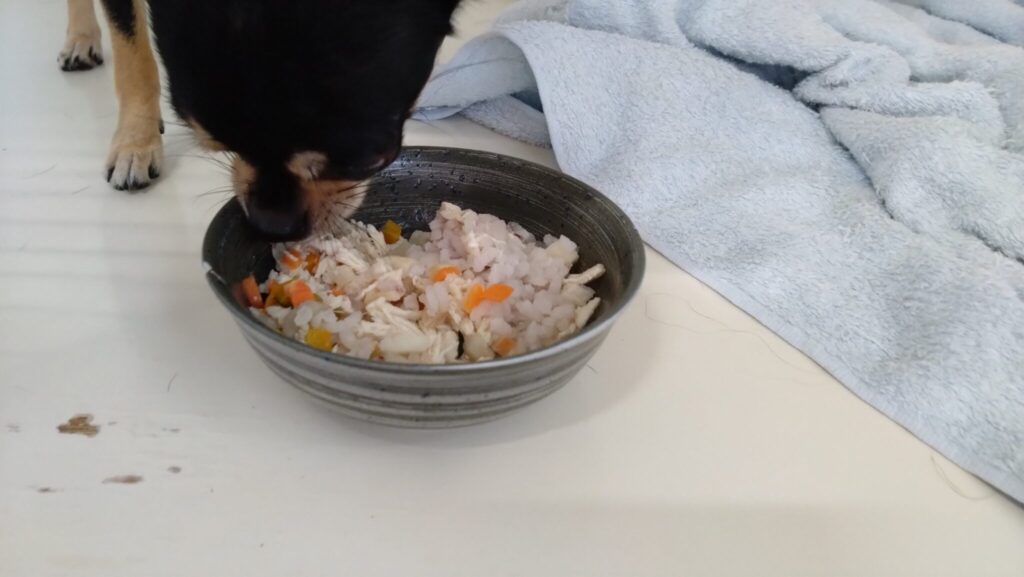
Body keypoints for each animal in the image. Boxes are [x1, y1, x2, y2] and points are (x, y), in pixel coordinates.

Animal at [61, 0, 463, 239]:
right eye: (218, 147)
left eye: (368, 161)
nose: (273, 226)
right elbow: (132, 54)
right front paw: (136, 142)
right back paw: (80, 39)